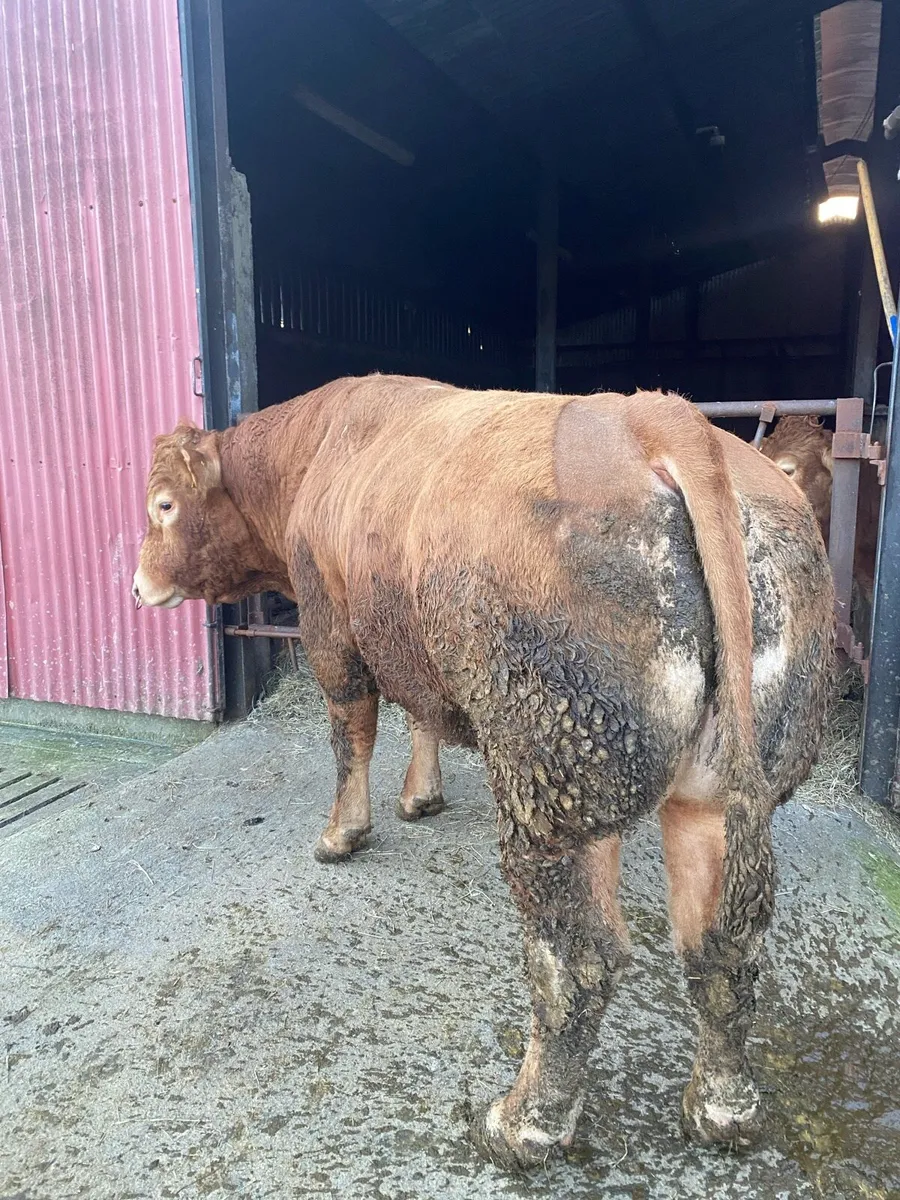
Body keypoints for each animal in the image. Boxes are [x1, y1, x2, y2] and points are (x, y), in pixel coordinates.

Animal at [133, 375, 833, 1168]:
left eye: (164, 504)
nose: (136, 586)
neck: (316, 451)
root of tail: (657, 413)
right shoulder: (405, 634)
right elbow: (421, 712)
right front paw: (422, 797)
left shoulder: (331, 625)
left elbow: (352, 731)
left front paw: (343, 833)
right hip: (714, 789)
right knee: (721, 941)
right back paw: (721, 1108)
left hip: (552, 780)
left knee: (577, 962)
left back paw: (523, 1124)